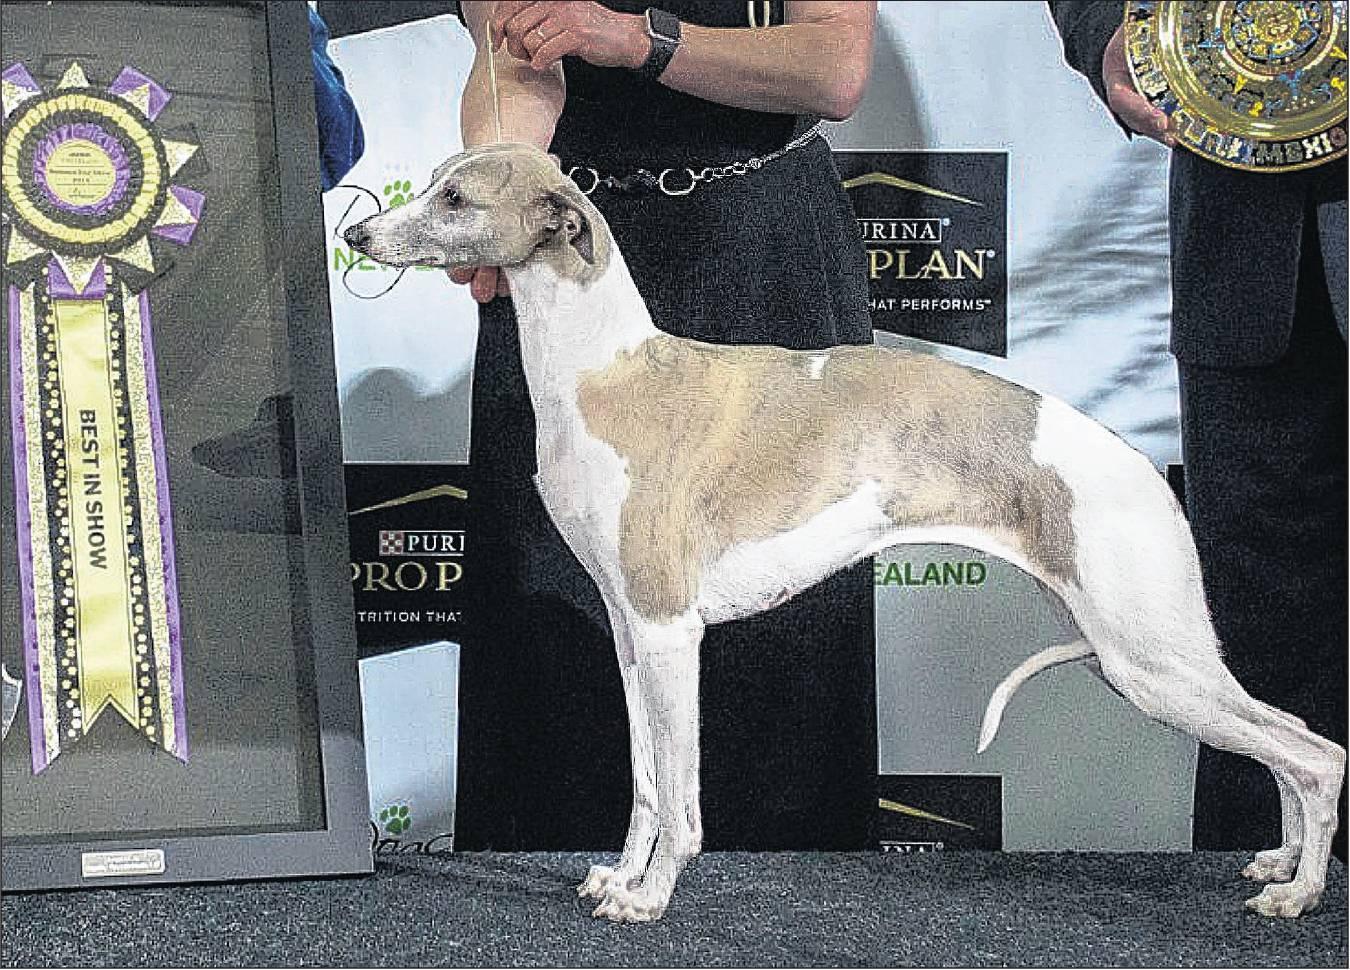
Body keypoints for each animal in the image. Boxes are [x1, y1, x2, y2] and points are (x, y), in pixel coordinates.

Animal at [344, 142, 1345, 924]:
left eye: (456, 197)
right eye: (432, 181)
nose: (355, 236)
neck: (607, 371)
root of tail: (1146, 468)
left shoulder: (672, 632)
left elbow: (684, 795)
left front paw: (652, 898)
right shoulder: (629, 632)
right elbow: (644, 782)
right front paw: (621, 879)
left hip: (1148, 657)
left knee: (1314, 752)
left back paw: (1297, 893)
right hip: (1140, 654)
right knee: (1290, 738)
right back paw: (1282, 862)